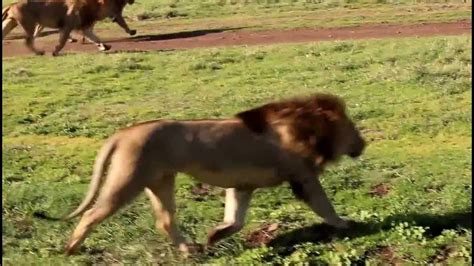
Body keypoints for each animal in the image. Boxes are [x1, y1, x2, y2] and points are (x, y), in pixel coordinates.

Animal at [3, 0, 136, 55]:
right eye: (115, 5)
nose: (116, 17)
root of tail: (11, 5)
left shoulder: (83, 27)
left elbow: (95, 38)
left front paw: (104, 46)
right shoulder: (67, 26)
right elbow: (62, 41)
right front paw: (55, 52)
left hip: (11, 22)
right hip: (29, 23)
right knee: (28, 41)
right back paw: (39, 52)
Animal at [36, 92, 366, 255]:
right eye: (352, 128)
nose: (363, 143)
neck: (306, 125)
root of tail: (122, 133)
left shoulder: (242, 185)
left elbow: (235, 218)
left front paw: (214, 235)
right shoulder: (303, 176)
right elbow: (324, 205)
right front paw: (346, 224)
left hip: (160, 181)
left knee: (165, 221)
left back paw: (189, 251)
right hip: (126, 181)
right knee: (92, 214)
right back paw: (71, 250)